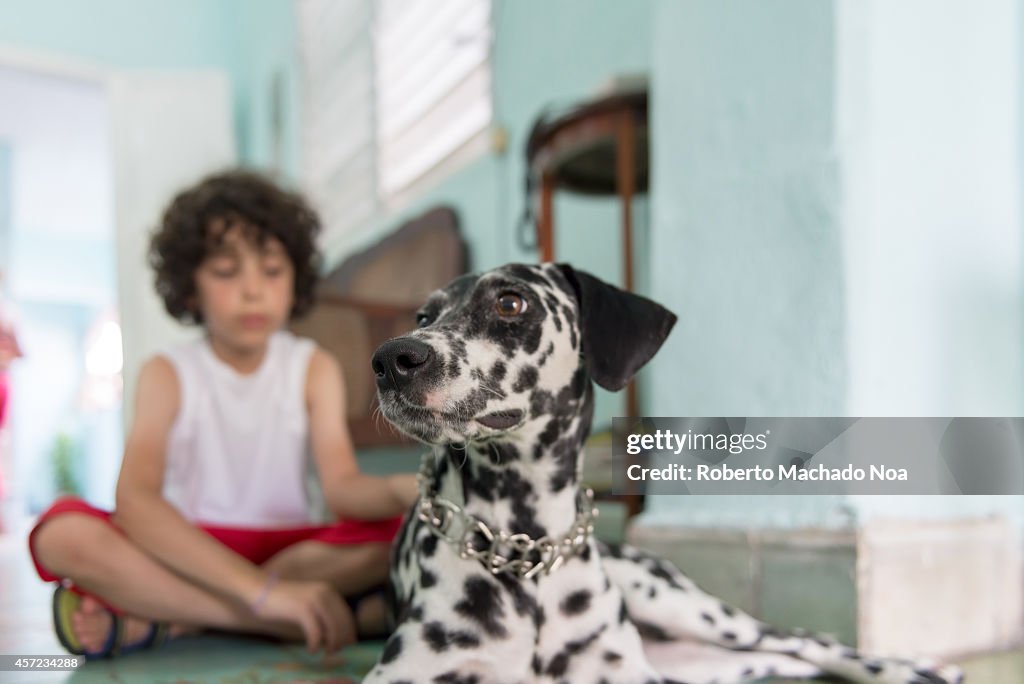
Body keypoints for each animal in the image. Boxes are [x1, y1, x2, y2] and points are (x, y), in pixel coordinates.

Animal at [364, 262, 962, 684]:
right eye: (424, 317)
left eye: (511, 301)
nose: (392, 359)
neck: (524, 547)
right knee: (791, 656)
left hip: (687, 606)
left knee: (806, 639)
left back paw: (907, 667)